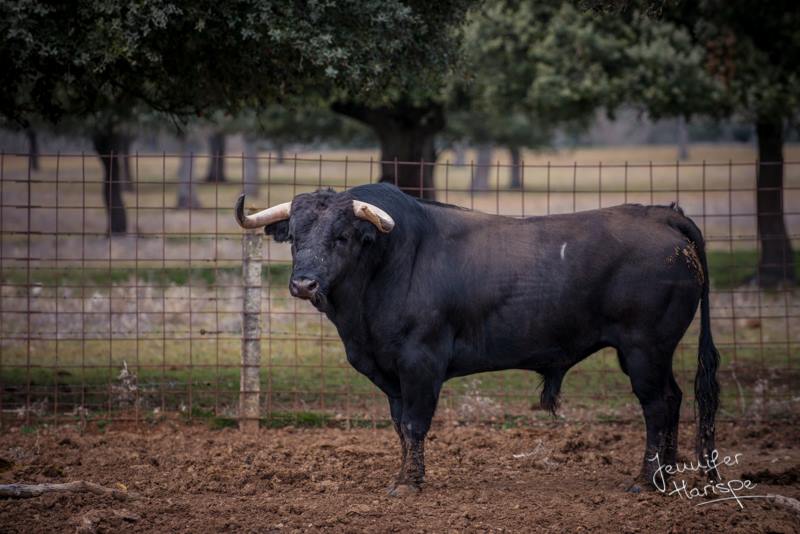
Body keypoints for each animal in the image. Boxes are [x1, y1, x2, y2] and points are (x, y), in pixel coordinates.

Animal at [235, 182, 720, 496]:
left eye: (342, 236)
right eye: (294, 237)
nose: (304, 284)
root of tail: (662, 214)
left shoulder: (421, 362)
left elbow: (415, 423)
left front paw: (409, 484)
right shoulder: (390, 373)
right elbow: (399, 426)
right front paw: (403, 475)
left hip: (644, 348)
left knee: (657, 405)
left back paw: (645, 481)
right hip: (652, 352)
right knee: (674, 399)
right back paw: (665, 477)